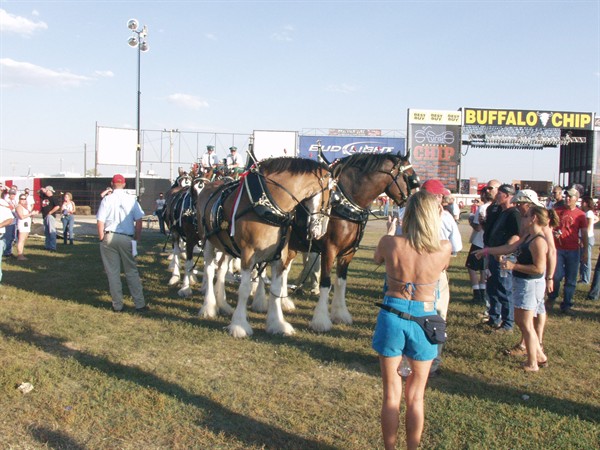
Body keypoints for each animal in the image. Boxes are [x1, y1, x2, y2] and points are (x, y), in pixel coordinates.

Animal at [196, 158, 332, 338]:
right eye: (331, 194)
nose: (320, 231)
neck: (269, 204)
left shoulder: (279, 255)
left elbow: (275, 288)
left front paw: (277, 323)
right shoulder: (248, 254)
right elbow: (245, 289)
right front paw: (239, 325)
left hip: (226, 246)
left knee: (222, 269)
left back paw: (223, 304)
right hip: (208, 241)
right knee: (210, 270)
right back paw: (208, 307)